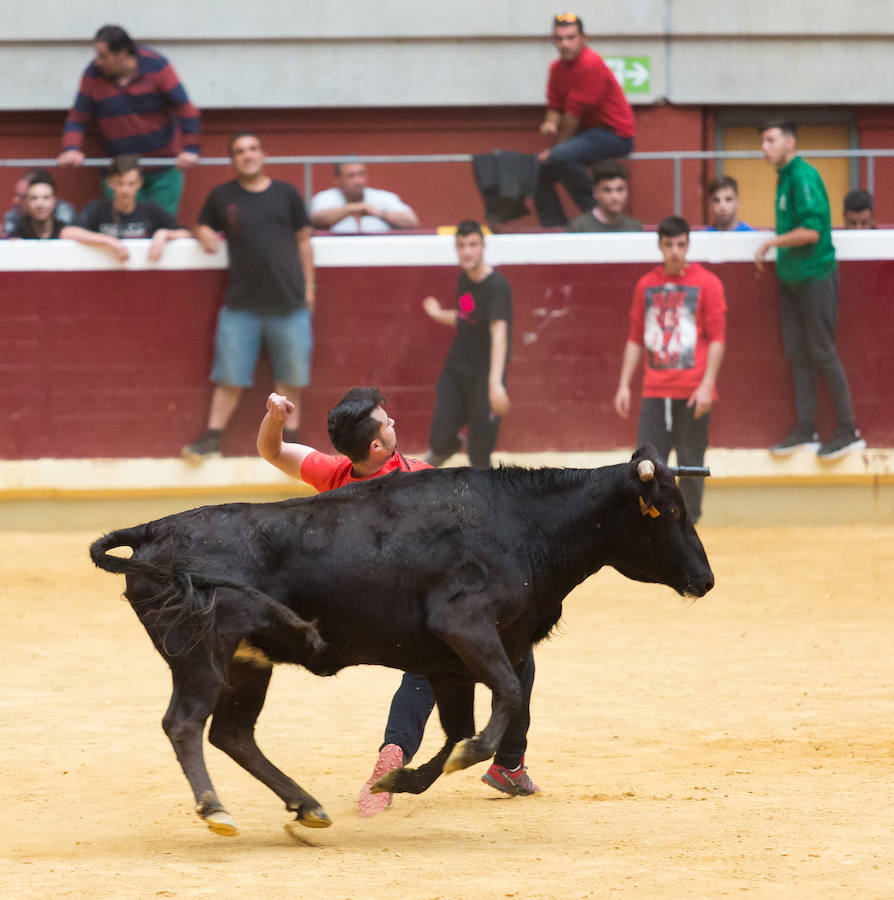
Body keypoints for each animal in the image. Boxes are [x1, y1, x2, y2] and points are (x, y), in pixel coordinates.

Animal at [86, 448, 712, 836]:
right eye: (669, 510)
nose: (705, 579)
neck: (522, 523)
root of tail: (155, 530)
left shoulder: (449, 665)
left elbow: (460, 728)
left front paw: (396, 780)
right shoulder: (466, 629)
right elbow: (506, 700)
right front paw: (443, 767)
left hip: (248, 664)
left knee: (234, 734)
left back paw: (308, 806)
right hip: (200, 655)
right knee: (185, 723)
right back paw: (216, 809)